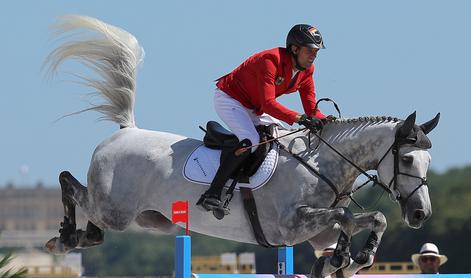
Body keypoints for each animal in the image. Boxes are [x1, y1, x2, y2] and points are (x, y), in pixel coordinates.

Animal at [44, 15, 442, 278]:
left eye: (428, 161)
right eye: (408, 159)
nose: (421, 214)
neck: (321, 165)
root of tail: (127, 131)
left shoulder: (318, 230)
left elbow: (370, 218)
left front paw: (351, 259)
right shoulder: (291, 225)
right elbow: (345, 217)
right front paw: (343, 258)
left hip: (152, 220)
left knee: (92, 219)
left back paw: (80, 235)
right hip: (115, 209)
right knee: (71, 186)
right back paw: (63, 238)